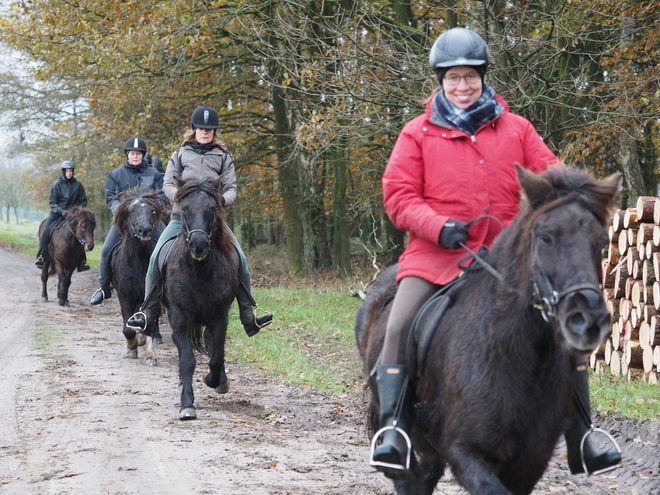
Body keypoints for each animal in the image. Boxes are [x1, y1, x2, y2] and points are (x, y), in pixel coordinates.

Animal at [109, 188, 164, 366]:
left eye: (153, 211)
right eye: (131, 211)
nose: (144, 230)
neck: (139, 258)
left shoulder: (152, 295)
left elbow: (150, 322)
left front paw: (150, 353)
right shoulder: (125, 297)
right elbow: (127, 328)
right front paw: (132, 347)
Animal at [160, 176, 240, 420]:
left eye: (212, 208)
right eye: (185, 208)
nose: (198, 245)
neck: (200, 271)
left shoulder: (220, 316)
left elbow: (216, 356)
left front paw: (214, 380)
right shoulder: (179, 316)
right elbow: (187, 360)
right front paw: (187, 404)